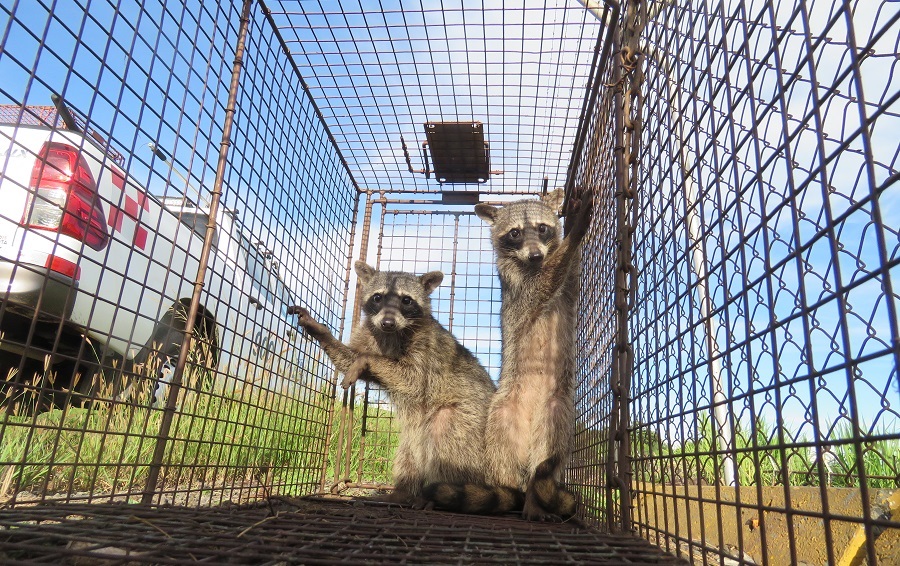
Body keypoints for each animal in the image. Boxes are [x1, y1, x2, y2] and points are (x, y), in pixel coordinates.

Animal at [474, 189, 596, 520]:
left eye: (542, 228)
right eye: (515, 233)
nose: (536, 256)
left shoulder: (569, 287)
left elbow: (568, 272)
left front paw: (570, 231)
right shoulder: (517, 287)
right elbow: (542, 286)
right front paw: (576, 229)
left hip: (557, 412)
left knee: (548, 455)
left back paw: (533, 497)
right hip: (501, 415)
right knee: (502, 458)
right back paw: (511, 496)